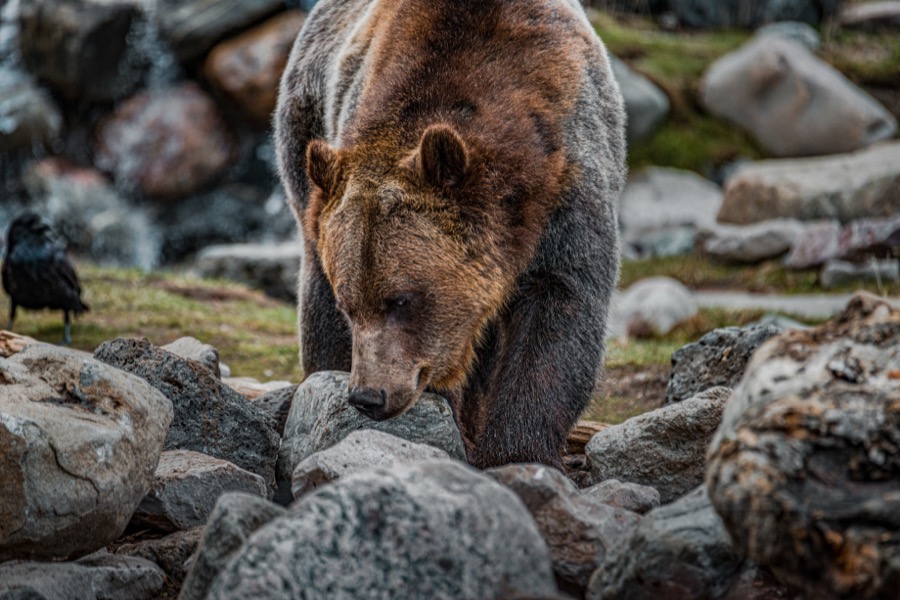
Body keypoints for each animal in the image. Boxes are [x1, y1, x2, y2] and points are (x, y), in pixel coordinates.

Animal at [275, 0, 626, 469]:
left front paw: (516, 451)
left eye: (400, 300)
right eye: (350, 305)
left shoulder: (568, 189)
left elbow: (560, 312)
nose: (368, 396)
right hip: (305, 141)